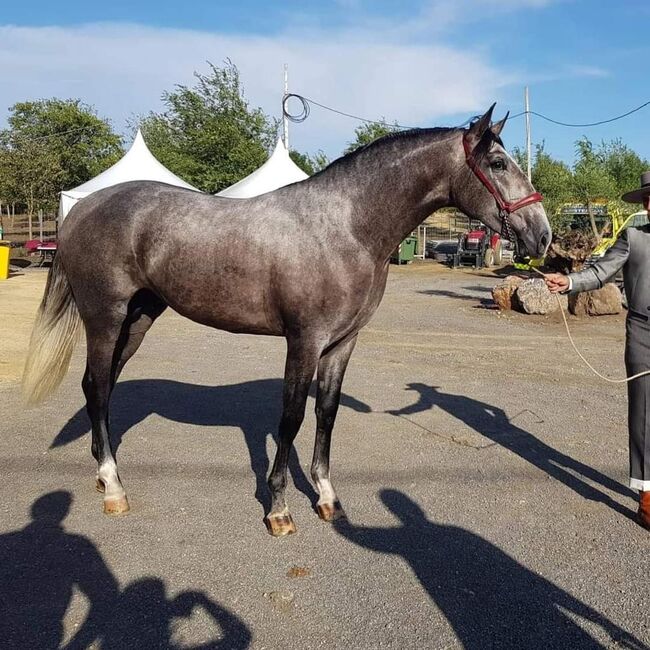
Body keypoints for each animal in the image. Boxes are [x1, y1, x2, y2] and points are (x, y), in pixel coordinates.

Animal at [21, 104, 548, 536]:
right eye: (498, 164)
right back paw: (114, 488)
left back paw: (101, 474)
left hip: (139, 318)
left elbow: (326, 414)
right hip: (105, 318)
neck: (344, 227)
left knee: (99, 387)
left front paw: (327, 497)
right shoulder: (304, 340)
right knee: (98, 389)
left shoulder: (342, 342)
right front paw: (278, 508)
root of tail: (82, 209)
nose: (541, 235)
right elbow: (291, 418)